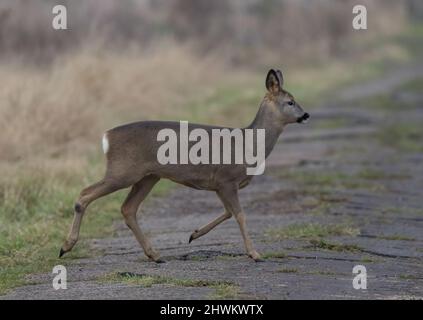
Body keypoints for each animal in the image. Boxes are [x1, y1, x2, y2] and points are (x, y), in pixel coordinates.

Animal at [59, 69, 310, 262]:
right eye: (290, 102)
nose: (306, 115)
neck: (249, 144)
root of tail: (106, 136)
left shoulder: (219, 184)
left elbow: (229, 212)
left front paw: (193, 234)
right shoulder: (227, 179)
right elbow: (240, 215)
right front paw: (255, 254)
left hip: (148, 176)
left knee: (128, 208)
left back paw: (155, 255)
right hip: (122, 171)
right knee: (85, 194)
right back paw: (66, 246)